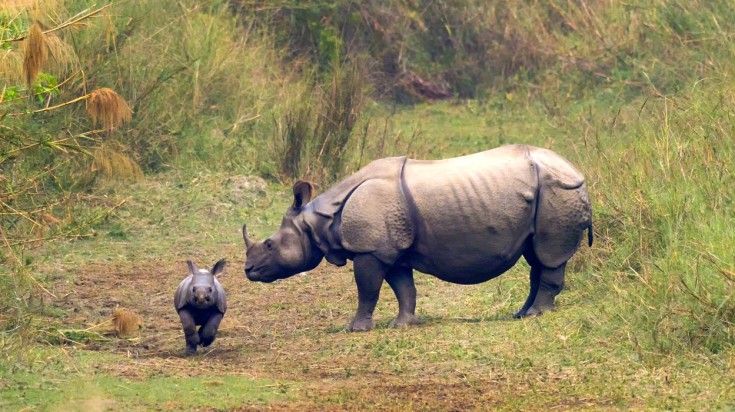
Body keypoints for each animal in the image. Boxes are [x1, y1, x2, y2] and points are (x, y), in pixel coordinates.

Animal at [242, 145, 592, 331]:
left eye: (270, 244)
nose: (248, 271)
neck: (319, 220)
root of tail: (576, 170)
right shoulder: (390, 248)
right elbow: (403, 287)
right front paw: (404, 324)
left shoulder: (371, 249)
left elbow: (367, 289)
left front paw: (356, 329)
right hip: (546, 196)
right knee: (536, 255)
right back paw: (521, 314)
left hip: (558, 191)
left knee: (549, 254)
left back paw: (535, 315)